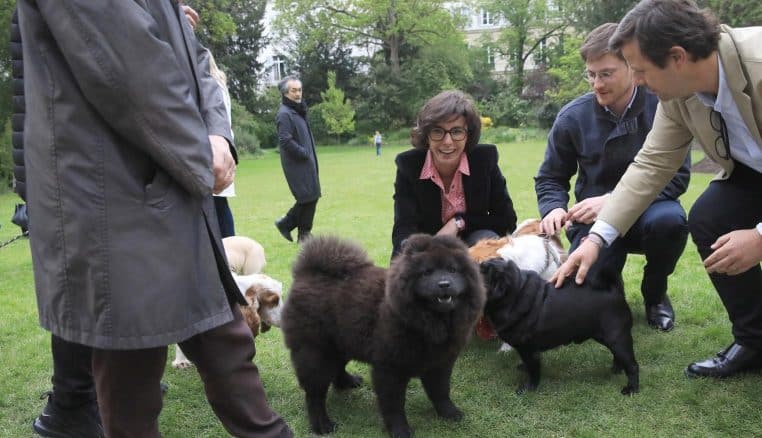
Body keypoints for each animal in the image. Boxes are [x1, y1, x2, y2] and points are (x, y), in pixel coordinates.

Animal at [282, 234, 484, 436]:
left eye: (452, 270)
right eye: (426, 273)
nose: (444, 284)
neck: (431, 321)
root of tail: (305, 273)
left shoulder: (440, 362)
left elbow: (441, 391)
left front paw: (450, 412)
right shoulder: (390, 368)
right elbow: (394, 404)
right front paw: (400, 430)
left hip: (342, 342)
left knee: (337, 368)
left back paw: (349, 382)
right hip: (315, 352)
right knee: (314, 394)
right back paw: (322, 425)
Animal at [480, 258, 636, 396]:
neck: (515, 294)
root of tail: (614, 291)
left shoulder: (529, 350)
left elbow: (533, 370)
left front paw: (529, 389)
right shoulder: (526, 351)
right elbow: (528, 364)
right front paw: (523, 368)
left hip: (617, 339)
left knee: (632, 365)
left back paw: (632, 389)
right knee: (618, 356)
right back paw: (616, 370)